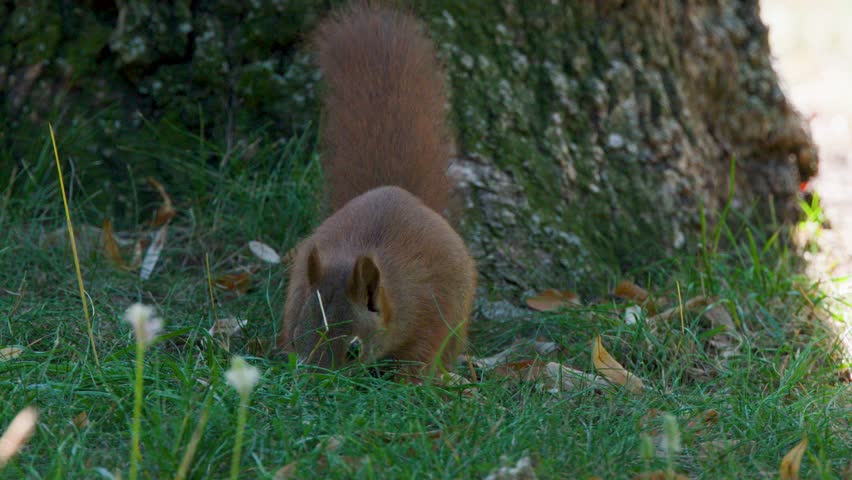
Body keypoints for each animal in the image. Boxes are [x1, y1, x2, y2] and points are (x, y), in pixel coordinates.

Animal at [278, 4, 477, 375]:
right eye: (297, 339)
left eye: (354, 349)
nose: (316, 381)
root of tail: (395, 189)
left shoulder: (431, 309)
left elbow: (421, 354)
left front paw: (407, 379)